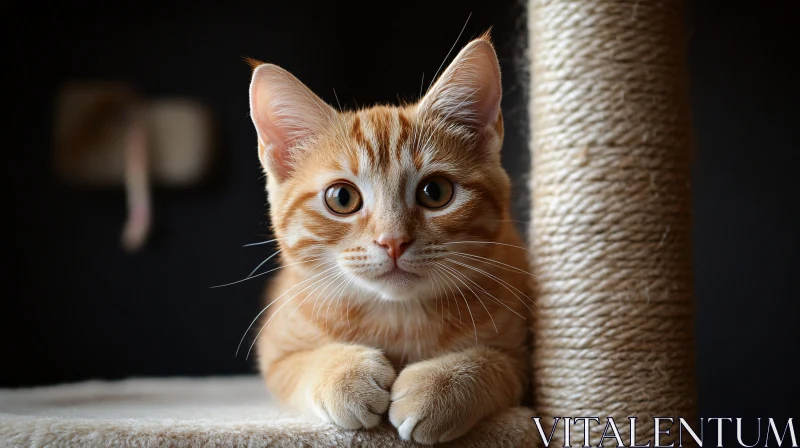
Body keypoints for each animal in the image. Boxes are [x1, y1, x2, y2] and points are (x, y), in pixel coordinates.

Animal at [247, 36, 528, 444]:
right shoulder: (275, 349)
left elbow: (496, 363)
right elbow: (299, 365)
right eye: (342, 198)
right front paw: (341, 375)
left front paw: (441, 386)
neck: (397, 317)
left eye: (435, 192)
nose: (393, 240)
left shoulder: (523, 357)